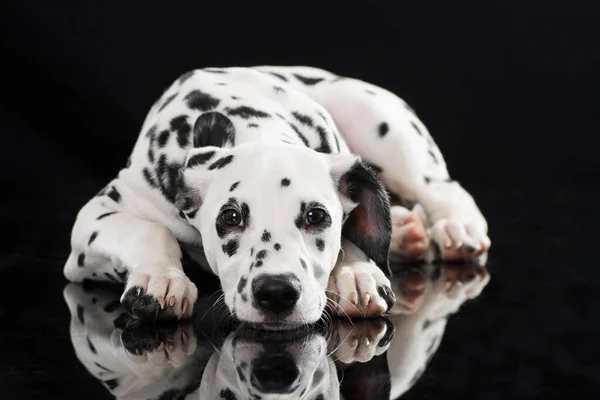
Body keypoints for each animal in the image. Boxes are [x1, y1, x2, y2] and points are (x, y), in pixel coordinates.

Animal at [63, 65, 490, 326]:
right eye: (230, 217)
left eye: (317, 216)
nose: (277, 292)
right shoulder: (97, 215)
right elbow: (150, 231)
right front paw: (161, 278)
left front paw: (356, 271)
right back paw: (405, 233)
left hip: (373, 119)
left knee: (441, 188)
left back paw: (455, 228)